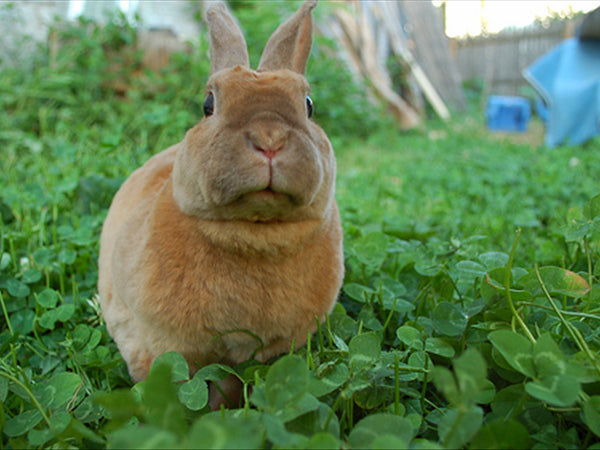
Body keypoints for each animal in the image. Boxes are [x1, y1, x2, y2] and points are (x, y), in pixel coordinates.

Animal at [96, 0, 344, 408]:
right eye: (208, 104)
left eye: (308, 105)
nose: (269, 139)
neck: (254, 232)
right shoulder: (163, 342)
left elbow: (230, 384)